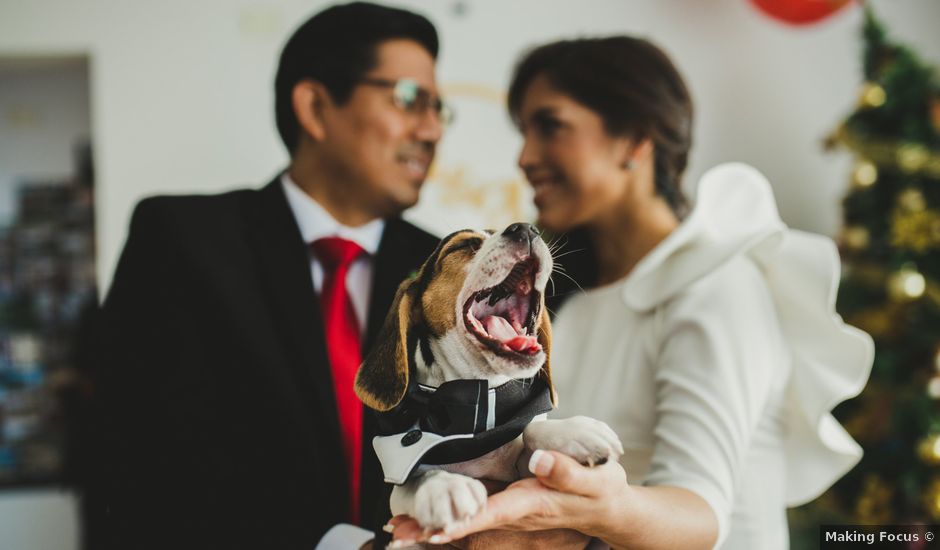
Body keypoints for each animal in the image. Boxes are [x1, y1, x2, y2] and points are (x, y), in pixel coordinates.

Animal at [356, 224, 620, 536]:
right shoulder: (391, 499)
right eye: (465, 245)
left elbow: (528, 430)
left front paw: (574, 431)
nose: (526, 228)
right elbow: (415, 475)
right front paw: (442, 486)